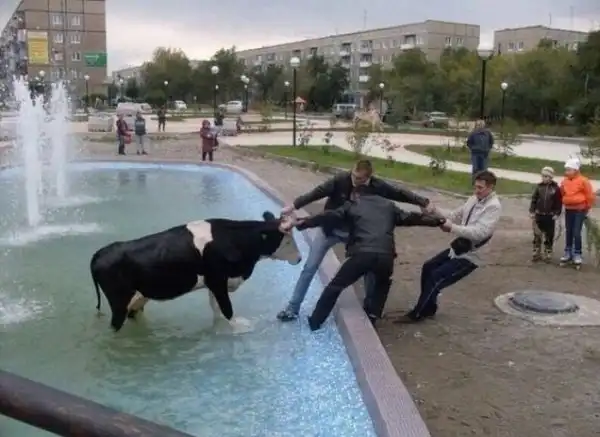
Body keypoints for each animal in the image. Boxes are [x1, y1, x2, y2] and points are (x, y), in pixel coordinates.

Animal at [90, 211, 301, 332]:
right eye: (287, 241)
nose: (299, 258)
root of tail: (100, 253)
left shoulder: (214, 284)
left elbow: (217, 309)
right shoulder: (217, 280)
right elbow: (227, 309)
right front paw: (241, 327)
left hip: (138, 298)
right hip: (119, 302)